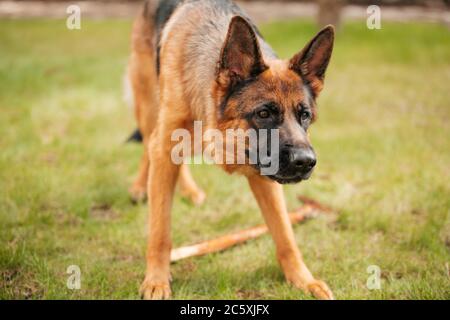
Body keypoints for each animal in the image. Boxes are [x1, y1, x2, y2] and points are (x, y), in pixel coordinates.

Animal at [126, 0, 334, 300]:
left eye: (304, 115)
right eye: (263, 113)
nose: (306, 162)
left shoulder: (265, 178)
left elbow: (285, 233)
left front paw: (303, 280)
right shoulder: (165, 145)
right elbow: (160, 231)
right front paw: (156, 280)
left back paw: (189, 190)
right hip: (149, 107)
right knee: (147, 141)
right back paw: (141, 186)